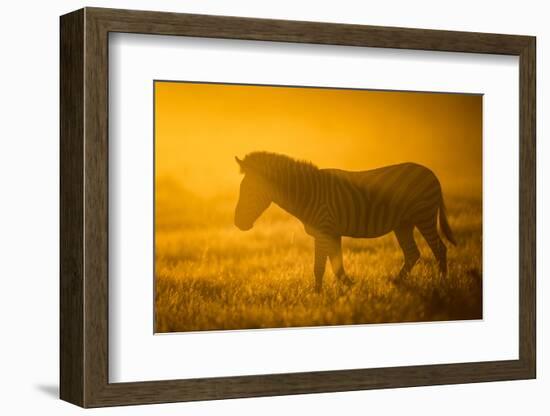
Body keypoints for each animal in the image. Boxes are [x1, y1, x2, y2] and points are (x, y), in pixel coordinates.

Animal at [233, 151, 458, 290]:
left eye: (249, 191)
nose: (237, 223)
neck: (309, 193)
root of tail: (431, 173)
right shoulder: (332, 233)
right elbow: (337, 267)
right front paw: (351, 288)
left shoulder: (324, 230)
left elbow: (320, 267)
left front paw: (317, 296)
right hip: (403, 223)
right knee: (412, 253)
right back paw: (396, 283)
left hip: (424, 215)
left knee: (439, 249)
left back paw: (443, 283)